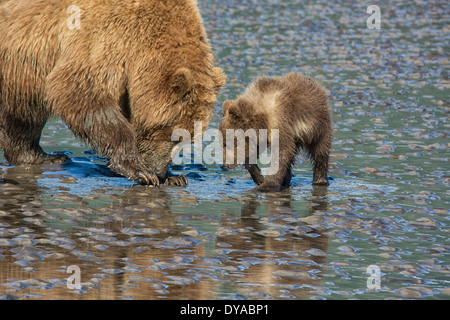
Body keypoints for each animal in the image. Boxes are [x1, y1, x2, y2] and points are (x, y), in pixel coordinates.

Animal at [0, 0, 225, 186]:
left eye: (189, 139)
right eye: (175, 135)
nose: (160, 171)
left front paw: (175, 177)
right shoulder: (103, 36)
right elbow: (81, 92)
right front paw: (141, 170)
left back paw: (44, 156)